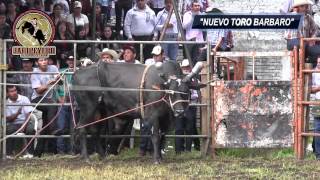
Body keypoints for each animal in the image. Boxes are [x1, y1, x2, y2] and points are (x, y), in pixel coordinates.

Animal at [71, 60, 204, 163]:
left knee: (95, 131)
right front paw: (156, 159)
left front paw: (161, 157)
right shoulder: (153, 115)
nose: (180, 111)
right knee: (81, 128)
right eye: (171, 92)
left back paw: (103, 156)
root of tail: (77, 73)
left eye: (186, 91)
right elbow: (155, 136)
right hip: (88, 108)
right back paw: (86, 157)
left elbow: (162, 137)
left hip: (100, 110)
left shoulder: (165, 118)